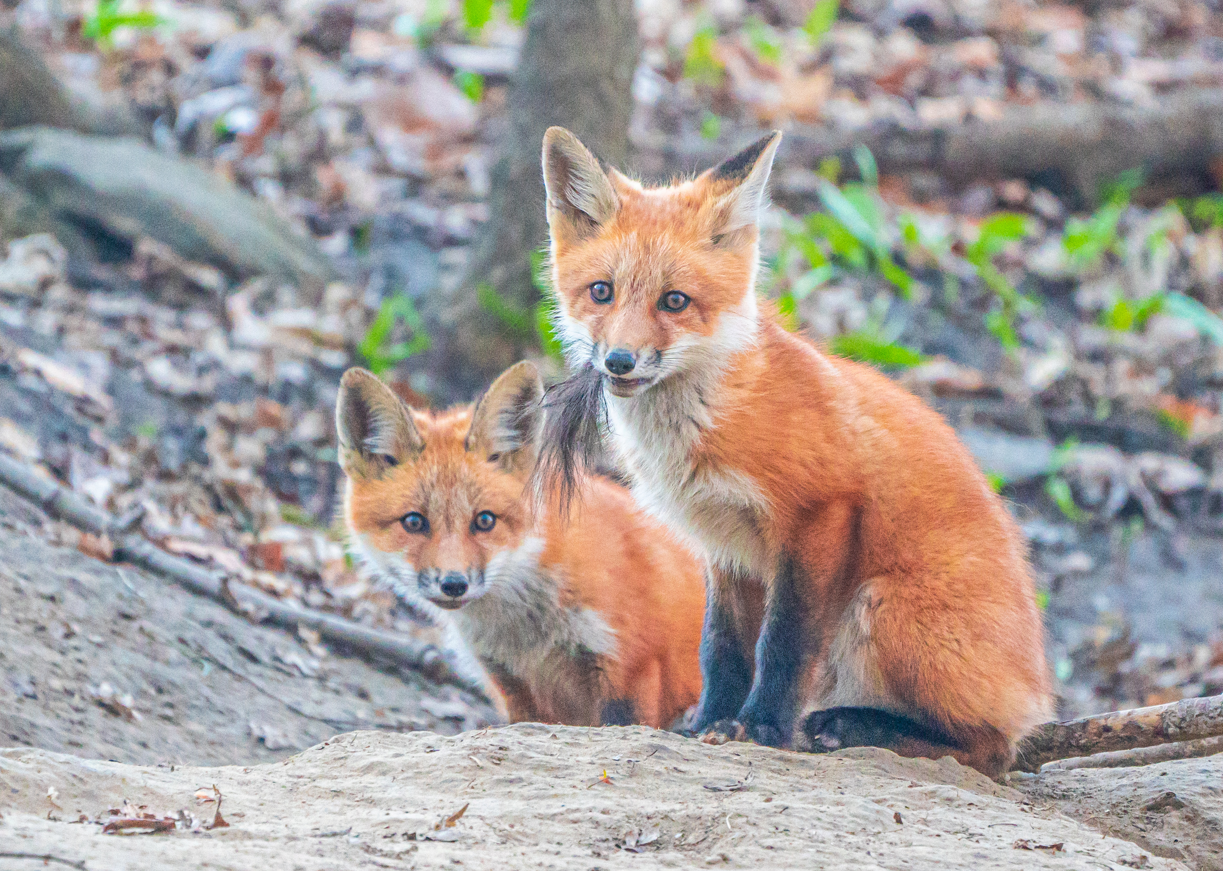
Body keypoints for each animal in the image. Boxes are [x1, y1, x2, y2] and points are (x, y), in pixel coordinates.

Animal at [536, 126, 1053, 777]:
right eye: (601, 292)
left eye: (674, 302)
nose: (619, 362)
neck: (712, 419)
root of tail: (1038, 687)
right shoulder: (724, 543)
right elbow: (721, 648)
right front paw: (710, 725)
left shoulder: (821, 511)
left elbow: (783, 641)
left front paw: (763, 727)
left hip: (879, 607)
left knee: (991, 748)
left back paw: (853, 726)